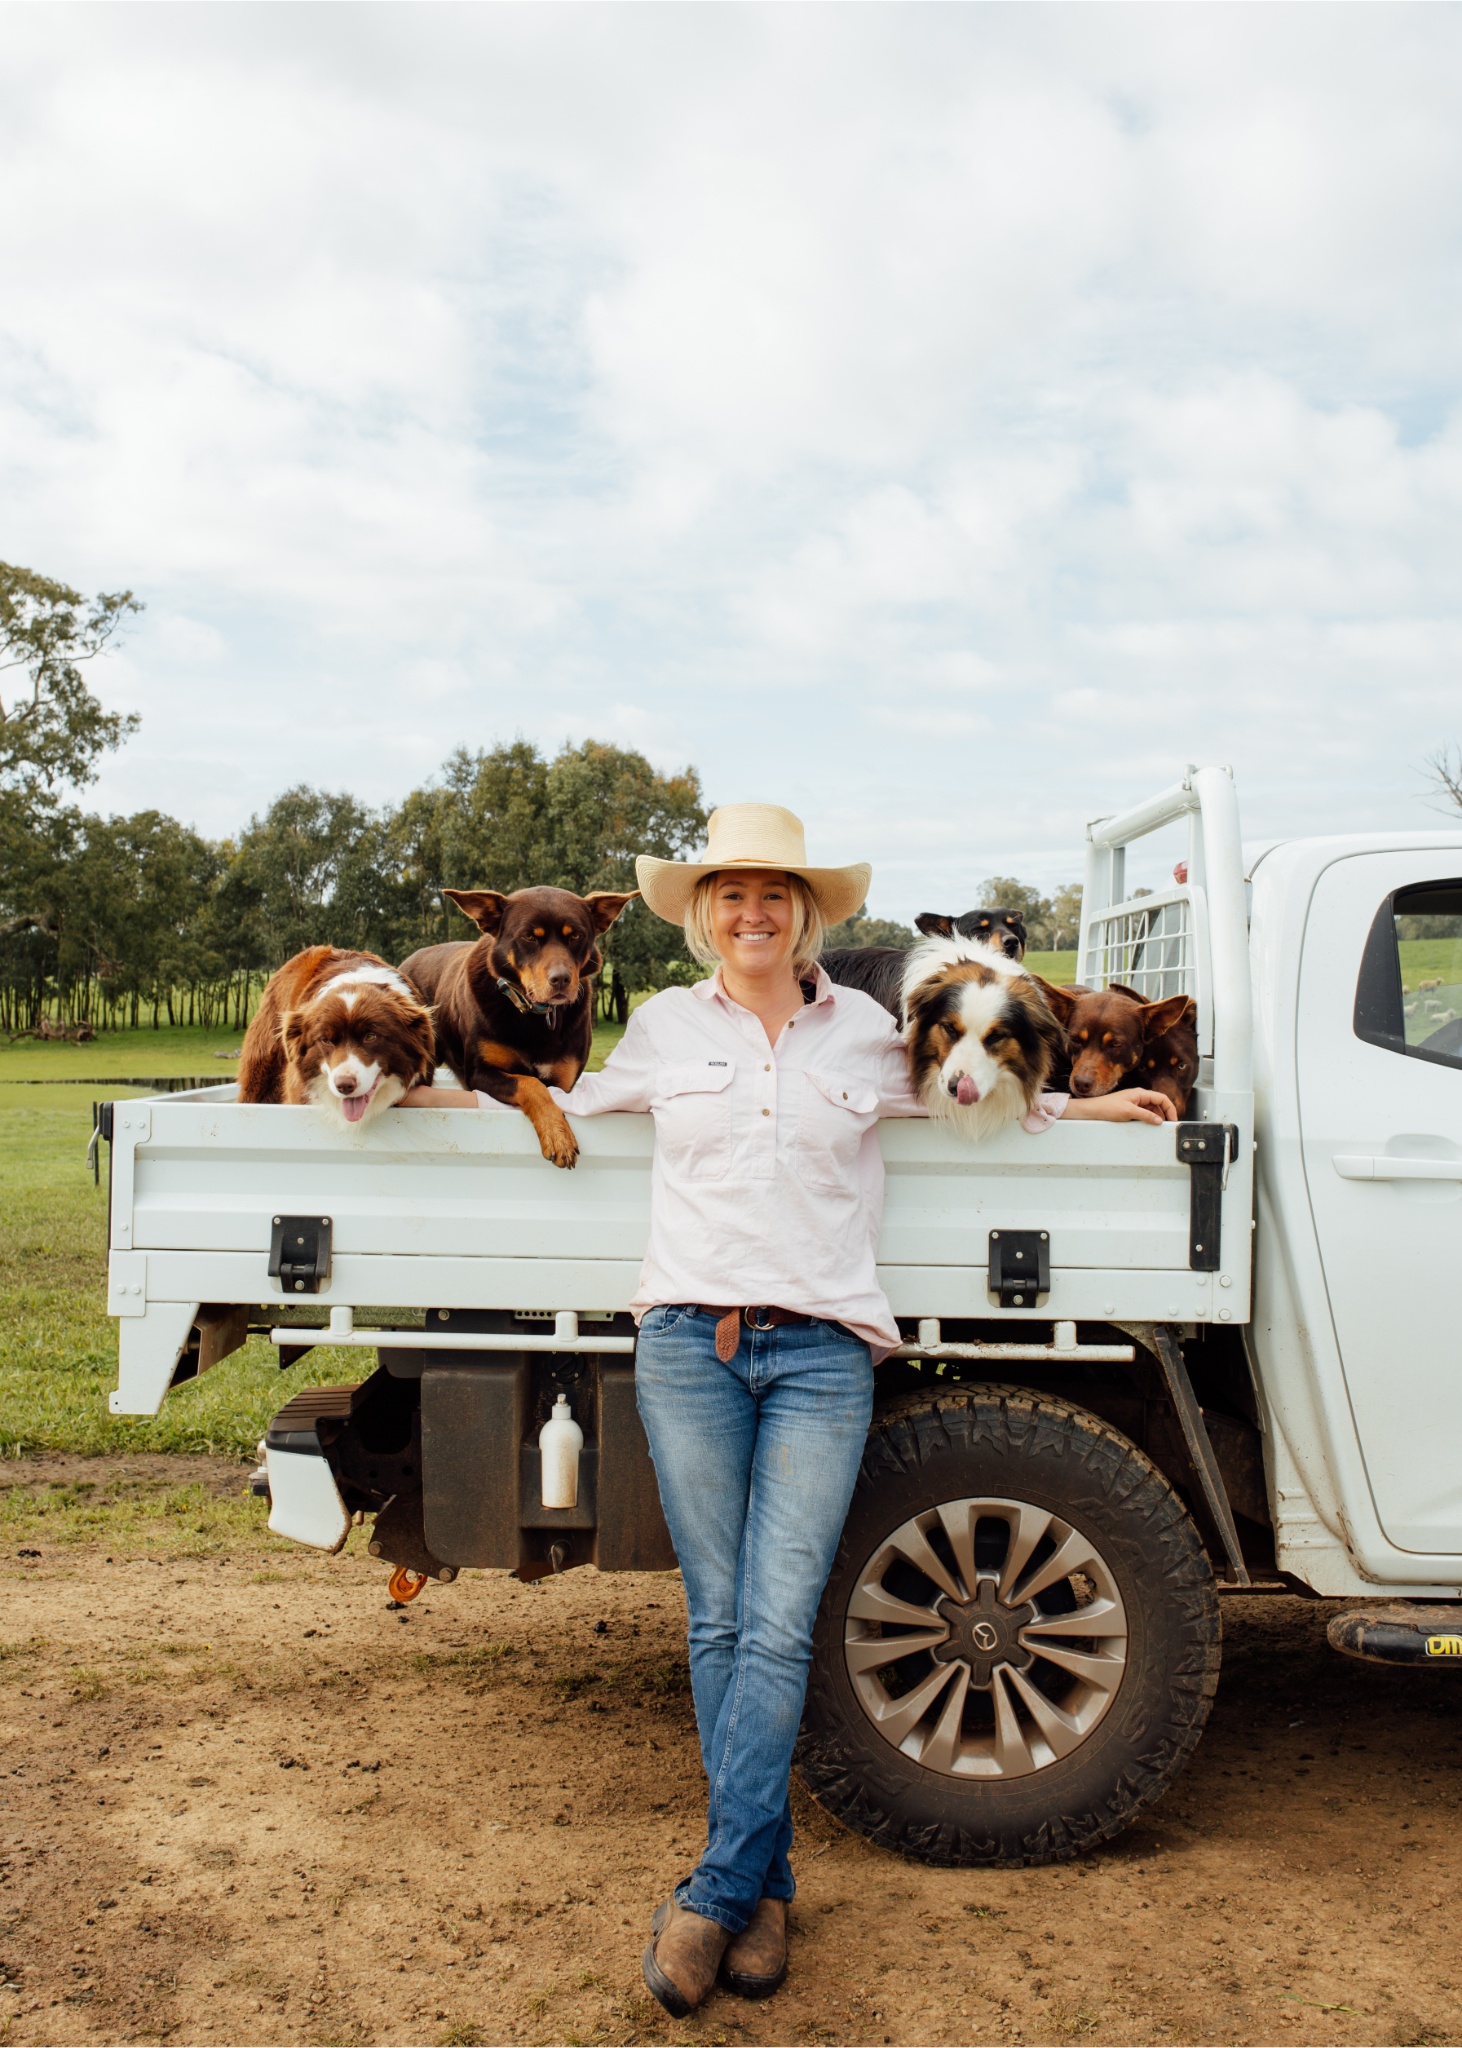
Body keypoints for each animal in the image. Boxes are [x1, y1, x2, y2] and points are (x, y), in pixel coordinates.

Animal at [399, 884, 630, 1171]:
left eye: (576, 935)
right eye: (529, 936)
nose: (561, 979)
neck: (537, 1016)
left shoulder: (564, 1081)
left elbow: (546, 1089)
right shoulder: (480, 1073)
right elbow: (531, 1085)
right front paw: (557, 1135)